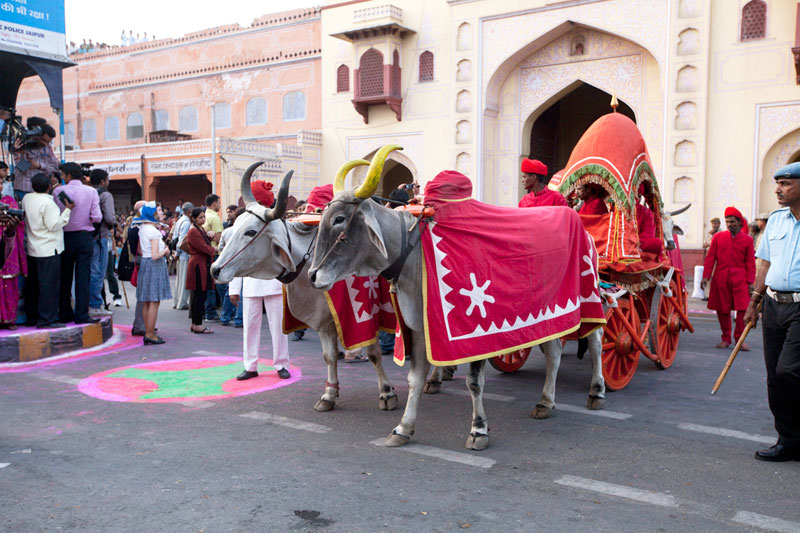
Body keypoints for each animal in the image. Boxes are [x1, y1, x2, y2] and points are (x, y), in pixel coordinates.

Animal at [210, 162, 398, 412]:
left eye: (250, 232)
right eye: (235, 227)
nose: (215, 270)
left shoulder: (365, 318)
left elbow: (374, 353)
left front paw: (387, 393)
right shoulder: (325, 323)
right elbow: (329, 356)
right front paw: (329, 395)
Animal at [309, 145, 605, 451]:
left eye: (339, 219)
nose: (312, 275)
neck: (415, 252)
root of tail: (579, 224)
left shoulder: (477, 333)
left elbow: (474, 382)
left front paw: (479, 429)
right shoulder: (419, 330)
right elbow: (415, 378)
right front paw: (403, 427)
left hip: (589, 298)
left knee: (595, 340)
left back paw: (596, 391)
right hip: (549, 314)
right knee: (554, 352)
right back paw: (546, 401)